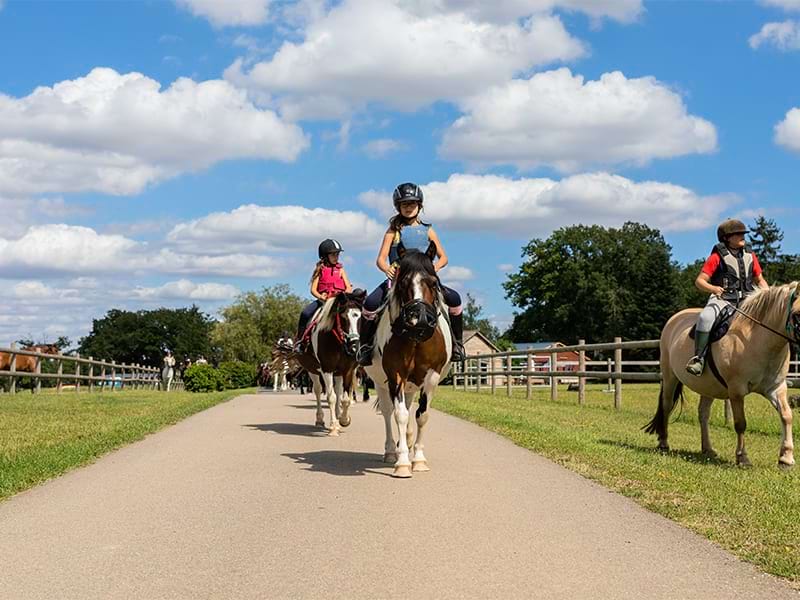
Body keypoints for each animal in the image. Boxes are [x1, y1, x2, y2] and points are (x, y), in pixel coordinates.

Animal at [296, 290, 368, 436]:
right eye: (343, 317)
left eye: (359, 317)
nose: (354, 346)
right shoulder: (327, 369)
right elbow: (331, 397)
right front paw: (334, 426)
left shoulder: (348, 370)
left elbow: (344, 399)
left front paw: (344, 420)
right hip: (313, 371)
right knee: (318, 391)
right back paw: (320, 419)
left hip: (338, 373)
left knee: (339, 391)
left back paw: (338, 415)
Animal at [362, 245, 450, 478]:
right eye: (402, 283)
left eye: (433, 283)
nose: (419, 320)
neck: (415, 338)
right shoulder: (395, 376)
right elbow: (400, 415)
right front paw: (402, 463)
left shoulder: (431, 378)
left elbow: (422, 415)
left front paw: (418, 459)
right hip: (381, 384)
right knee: (388, 412)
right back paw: (391, 451)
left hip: (412, 384)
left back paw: (408, 442)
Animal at [644, 284, 800, 472]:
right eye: (797, 314)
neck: (757, 338)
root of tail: (674, 319)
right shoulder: (736, 391)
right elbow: (740, 423)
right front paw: (742, 458)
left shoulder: (776, 388)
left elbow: (786, 416)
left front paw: (786, 458)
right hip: (669, 377)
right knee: (667, 406)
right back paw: (663, 443)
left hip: (707, 387)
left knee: (703, 414)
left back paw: (708, 449)